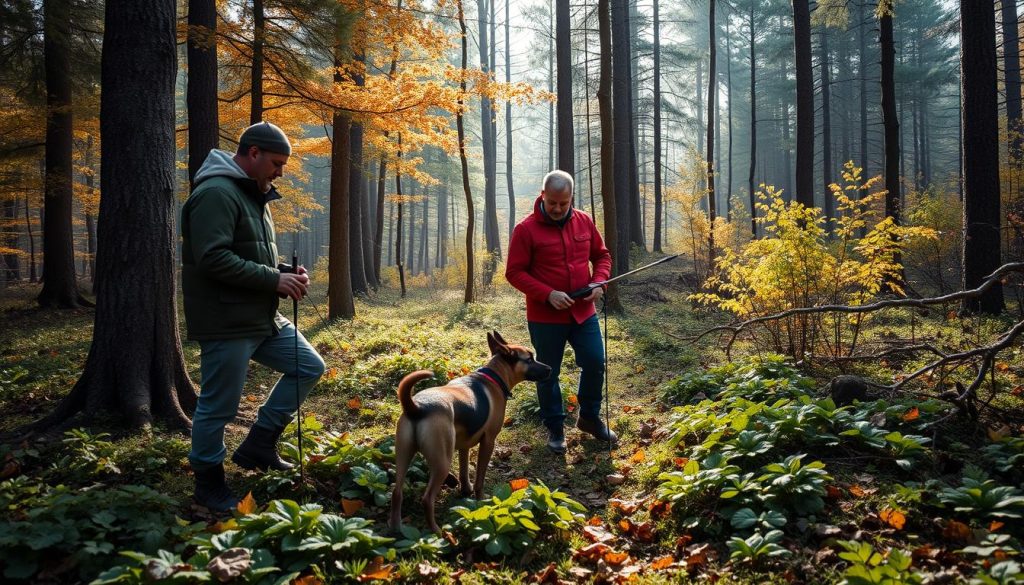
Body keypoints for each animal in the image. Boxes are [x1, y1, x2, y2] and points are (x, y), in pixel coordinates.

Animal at [387, 331, 552, 532]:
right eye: (529, 359)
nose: (550, 368)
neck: (494, 376)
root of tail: (417, 407)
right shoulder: (488, 442)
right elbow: (480, 476)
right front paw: (481, 500)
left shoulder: (463, 446)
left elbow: (464, 470)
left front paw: (466, 490)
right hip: (442, 463)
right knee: (427, 499)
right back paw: (437, 532)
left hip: (403, 455)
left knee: (397, 493)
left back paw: (396, 529)